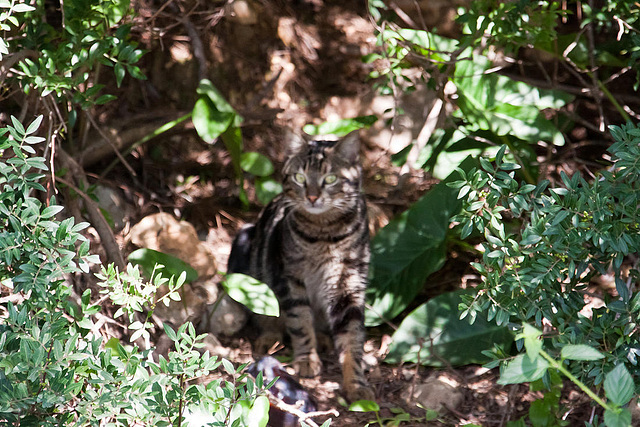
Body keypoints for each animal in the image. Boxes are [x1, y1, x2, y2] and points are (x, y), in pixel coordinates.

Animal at [228, 132, 376, 402]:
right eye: (300, 177)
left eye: (330, 179)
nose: (313, 197)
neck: (324, 232)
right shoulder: (289, 278)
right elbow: (299, 321)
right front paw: (307, 359)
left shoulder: (348, 283)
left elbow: (352, 340)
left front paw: (356, 384)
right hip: (244, 250)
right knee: (266, 317)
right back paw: (270, 337)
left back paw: (324, 339)